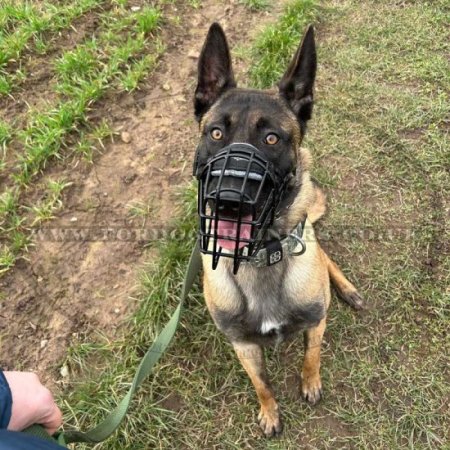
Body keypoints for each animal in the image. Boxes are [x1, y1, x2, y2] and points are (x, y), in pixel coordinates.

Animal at [192, 23, 364, 436]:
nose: (229, 199)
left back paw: (347, 289)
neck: (258, 260)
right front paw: (269, 411)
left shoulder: (316, 322)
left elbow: (312, 357)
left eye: (272, 138)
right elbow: (262, 383)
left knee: (326, 256)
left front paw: (310, 381)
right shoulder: (243, 346)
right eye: (216, 134)